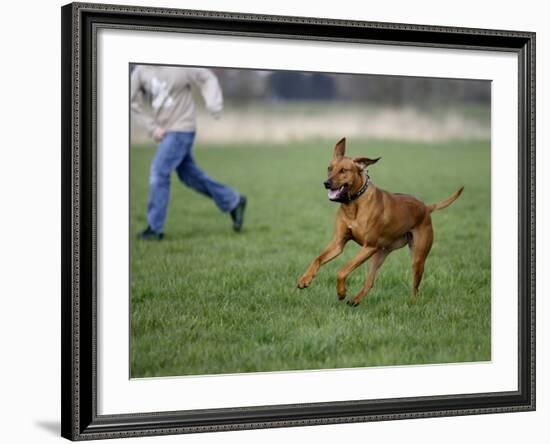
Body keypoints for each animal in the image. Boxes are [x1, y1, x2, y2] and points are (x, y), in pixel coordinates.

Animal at [298, 139, 466, 306]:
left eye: (344, 170)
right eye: (329, 168)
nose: (326, 183)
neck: (353, 204)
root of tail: (426, 207)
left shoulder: (369, 246)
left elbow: (342, 270)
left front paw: (341, 292)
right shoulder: (339, 242)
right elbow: (317, 259)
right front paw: (305, 279)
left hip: (417, 257)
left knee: (415, 286)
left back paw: (411, 302)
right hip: (379, 254)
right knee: (370, 281)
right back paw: (355, 300)